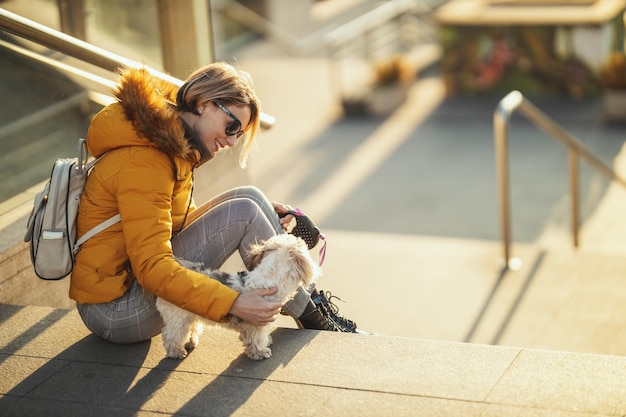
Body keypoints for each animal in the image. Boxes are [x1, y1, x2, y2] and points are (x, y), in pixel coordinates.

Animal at [154, 232, 320, 360]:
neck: (269, 279)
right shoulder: (255, 322)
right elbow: (256, 338)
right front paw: (260, 352)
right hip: (178, 318)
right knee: (171, 335)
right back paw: (176, 351)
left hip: (190, 315)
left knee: (191, 328)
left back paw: (190, 342)